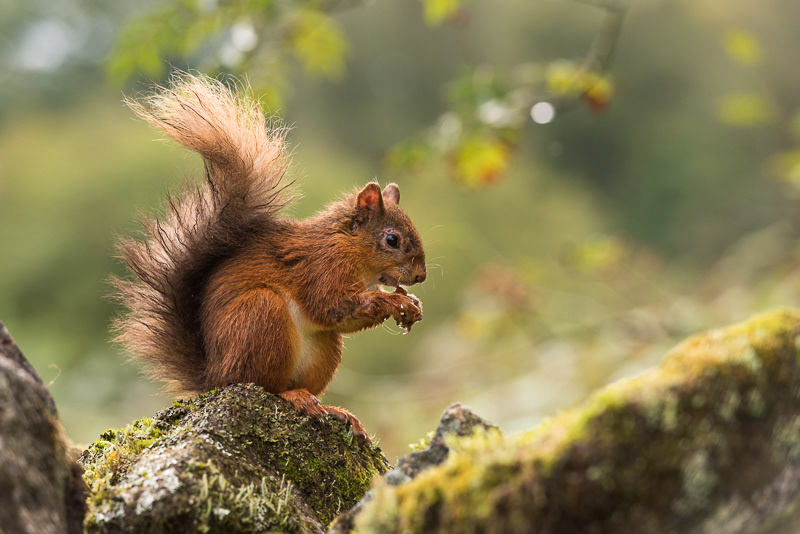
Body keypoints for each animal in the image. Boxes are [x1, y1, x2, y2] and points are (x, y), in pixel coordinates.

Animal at [113, 72, 427, 442]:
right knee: (266, 386)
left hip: (322, 348)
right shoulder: (322, 267)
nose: (421, 276)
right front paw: (395, 302)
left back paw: (335, 410)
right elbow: (331, 305)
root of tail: (214, 377)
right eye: (392, 240)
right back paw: (292, 396)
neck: (349, 249)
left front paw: (413, 304)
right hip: (261, 316)